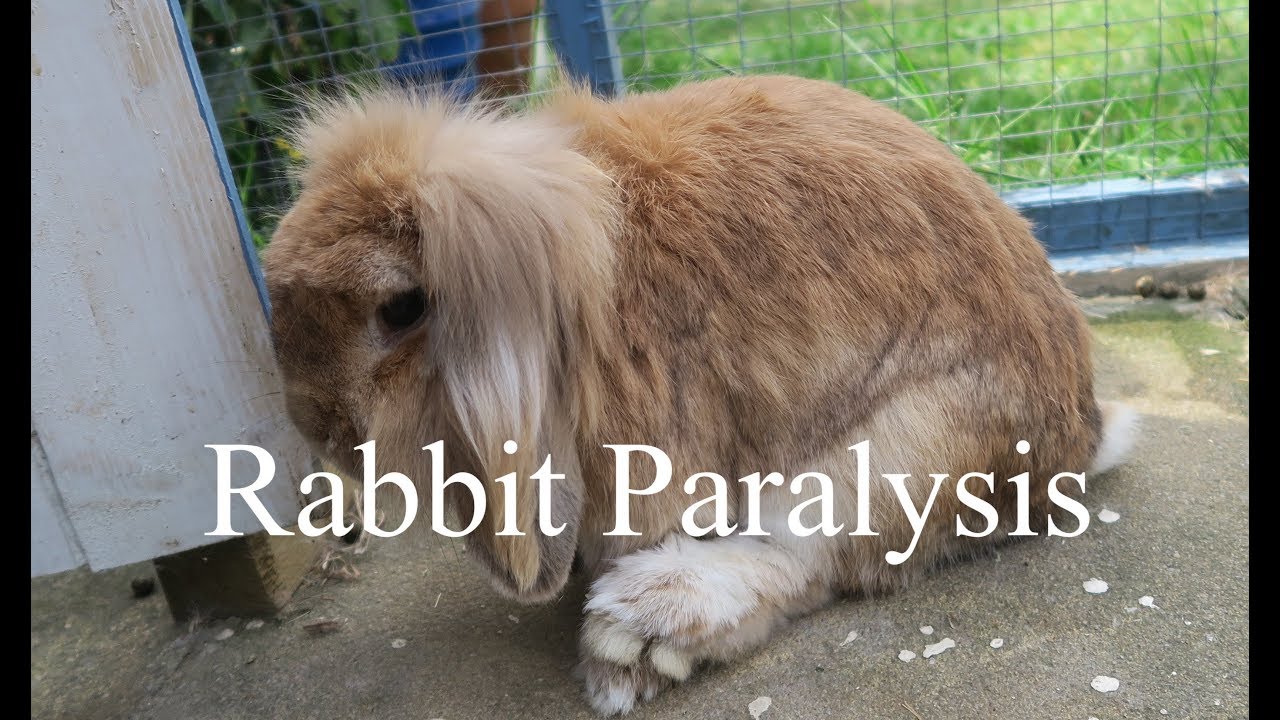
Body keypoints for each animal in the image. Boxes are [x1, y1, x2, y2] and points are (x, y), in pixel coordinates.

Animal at [262, 74, 1138, 715]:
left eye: (401, 308)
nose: (318, 426)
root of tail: (1079, 439)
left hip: (896, 452)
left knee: (807, 560)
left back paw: (636, 642)